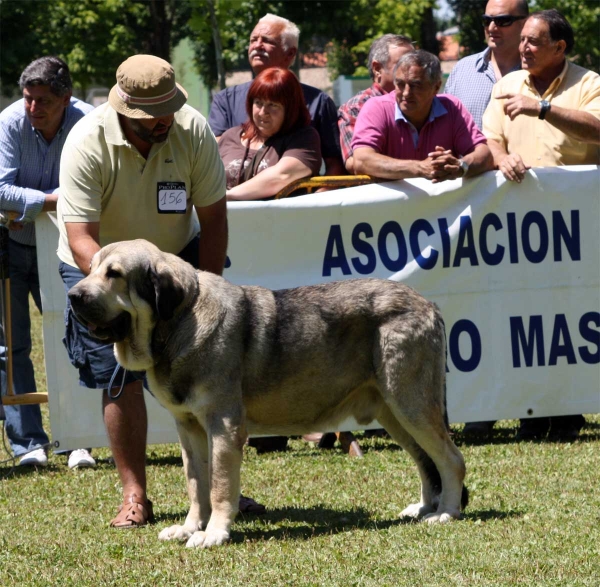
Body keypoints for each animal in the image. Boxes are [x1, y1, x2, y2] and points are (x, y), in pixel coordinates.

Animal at [68, 238, 466, 548]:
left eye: (114, 274)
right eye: (90, 268)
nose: (73, 295)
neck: (180, 322)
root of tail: (429, 305)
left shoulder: (223, 426)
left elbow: (219, 486)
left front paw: (213, 534)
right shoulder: (189, 428)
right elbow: (196, 484)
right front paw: (189, 528)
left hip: (411, 403)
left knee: (450, 459)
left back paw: (445, 512)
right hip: (395, 413)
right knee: (425, 461)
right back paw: (424, 507)